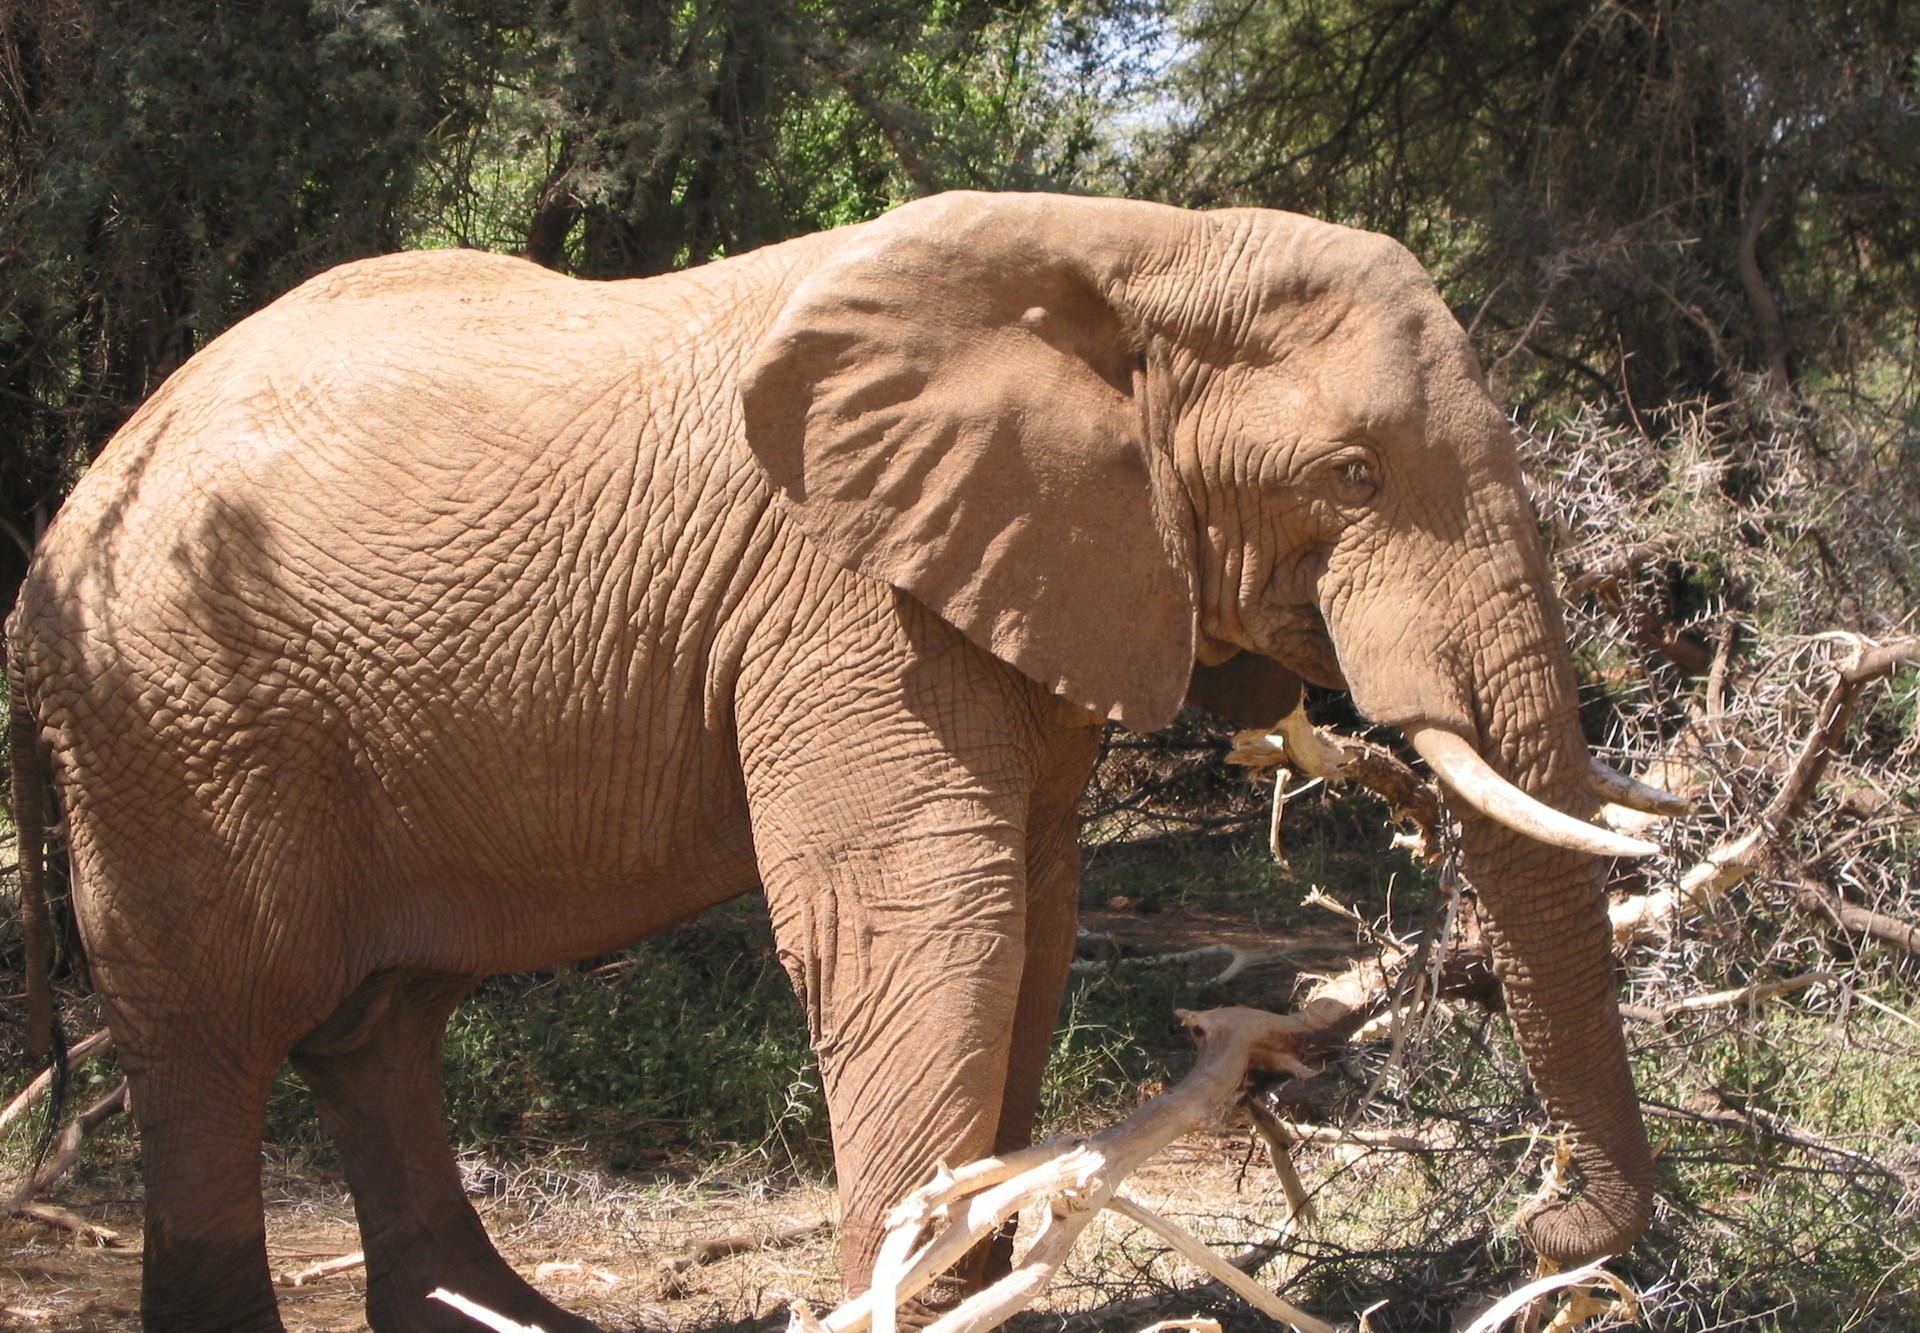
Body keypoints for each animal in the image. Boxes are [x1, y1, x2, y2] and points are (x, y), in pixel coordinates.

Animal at [7, 190, 1673, 1333]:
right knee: (219, 1030)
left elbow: (1039, 922)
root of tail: (52, 550)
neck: (1142, 246)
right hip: (178, 716)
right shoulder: (846, 598)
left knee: (380, 1024)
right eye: (1353, 475)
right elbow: (929, 916)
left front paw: (973, 1274)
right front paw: (920, 1303)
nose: (1551, 1240)